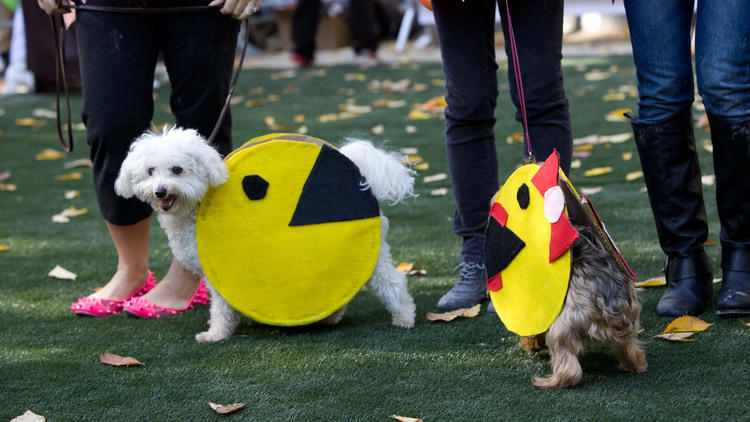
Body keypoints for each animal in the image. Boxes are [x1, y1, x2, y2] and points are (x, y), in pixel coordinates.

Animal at [114, 128, 418, 342]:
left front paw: (216, 334)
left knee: (393, 283)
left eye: (177, 170)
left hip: (374, 259)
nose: (160, 191)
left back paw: (404, 318)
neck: (192, 210)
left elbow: (221, 307)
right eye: (150, 171)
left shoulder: (217, 276)